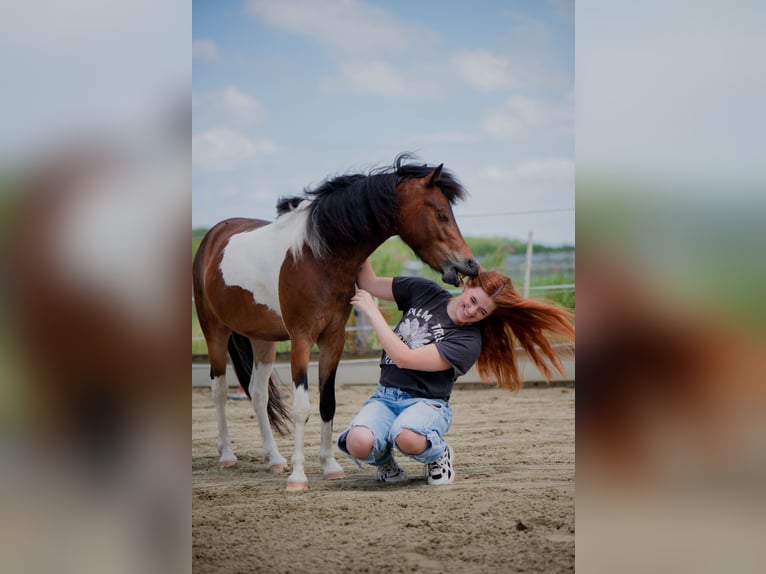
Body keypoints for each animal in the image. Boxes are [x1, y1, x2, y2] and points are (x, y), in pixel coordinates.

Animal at [194, 155, 480, 492]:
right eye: (441, 215)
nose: (470, 265)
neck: (316, 257)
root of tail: (214, 236)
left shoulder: (333, 338)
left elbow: (327, 402)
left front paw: (329, 466)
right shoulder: (302, 339)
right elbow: (301, 407)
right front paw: (298, 476)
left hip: (262, 339)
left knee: (258, 392)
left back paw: (274, 459)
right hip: (215, 331)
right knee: (219, 390)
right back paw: (227, 455)